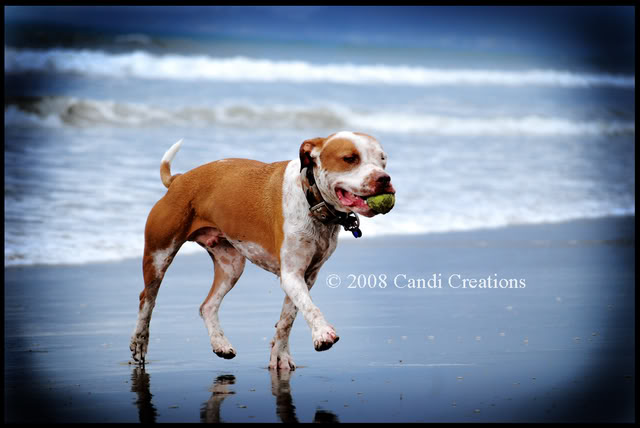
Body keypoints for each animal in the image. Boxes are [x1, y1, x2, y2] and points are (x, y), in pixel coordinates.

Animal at [130, 130, 396, 368]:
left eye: (382, 159)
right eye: (350, 158)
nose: (384, 178)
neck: (312, 198)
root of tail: (179, 179)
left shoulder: (306, 276)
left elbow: (287, 319)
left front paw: (280, 357)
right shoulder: (292, 275)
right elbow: (310, 307)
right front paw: (322, 333)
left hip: (231, 266)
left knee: (208, 306)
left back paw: (220, 344)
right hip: (159, 254)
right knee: (147, 300)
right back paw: (140, 344)